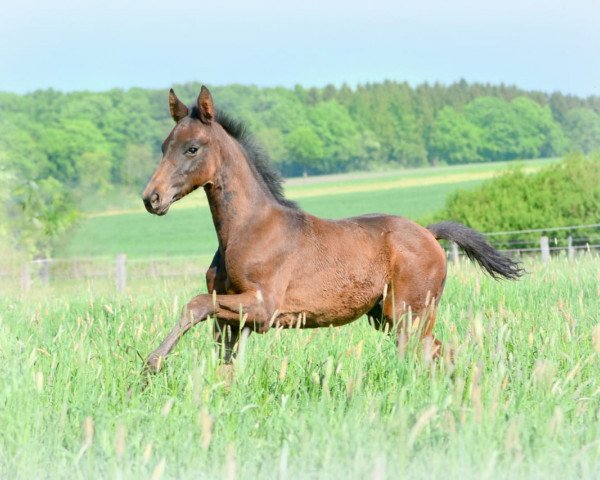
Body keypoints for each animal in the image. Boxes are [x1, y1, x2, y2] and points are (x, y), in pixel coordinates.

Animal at [139, 85, 520, 372]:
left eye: (192, 148)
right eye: (163, 147)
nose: (151, 198)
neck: (246, 229)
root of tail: (429, 233)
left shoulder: (264, 307)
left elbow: (195, 304)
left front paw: (152, 363)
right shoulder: (231, 321)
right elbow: (223, 359)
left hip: (408, 314)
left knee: (422, 355)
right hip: (388, 316)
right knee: (441, 353)